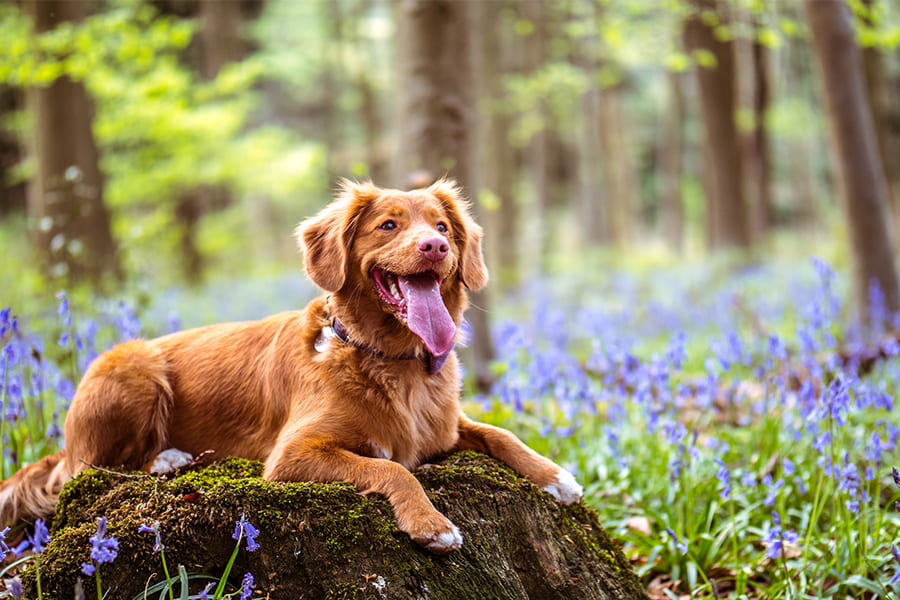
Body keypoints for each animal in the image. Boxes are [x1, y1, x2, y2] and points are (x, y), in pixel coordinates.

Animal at [0, 178, 584, 552]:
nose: (435, 246)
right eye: (388, 225)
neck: (391, 362)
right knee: (89, 471)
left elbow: (499, 433)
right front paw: (430, 523)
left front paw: (554, 475)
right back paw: (167, 459)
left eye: (442, 225)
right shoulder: (292, 456)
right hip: (134, 367)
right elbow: (392, 467)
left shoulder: (441, 428)